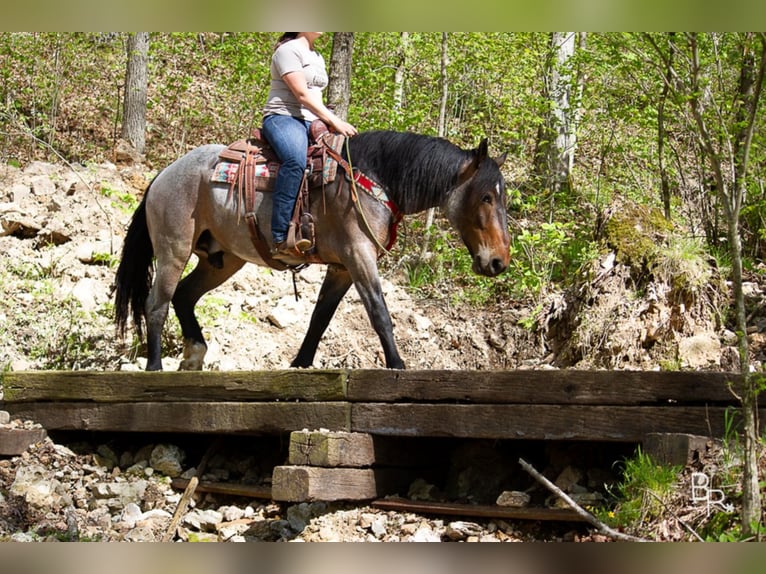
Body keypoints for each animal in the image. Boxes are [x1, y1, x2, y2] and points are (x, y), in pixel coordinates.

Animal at [114, 129, 510, 374]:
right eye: (485, 197)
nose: (499, 261)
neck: (375, 180)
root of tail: (163, 175)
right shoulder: (358, 256)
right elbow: (379, 313)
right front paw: (397, 365)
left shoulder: (341, 268)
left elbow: (320, 318)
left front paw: (299, 364)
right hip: (173, 249)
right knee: (157, 303)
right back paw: (154, 367)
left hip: (223, 261)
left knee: (184, 295)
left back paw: (195, 353)